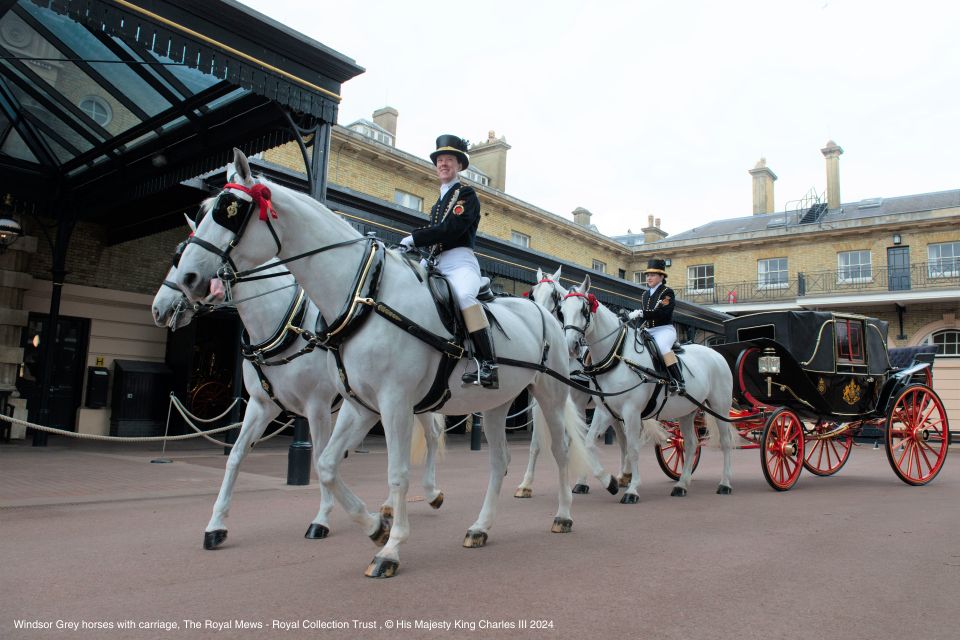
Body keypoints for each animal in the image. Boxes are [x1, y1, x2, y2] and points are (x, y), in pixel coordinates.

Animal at [155, 232, 446, 548]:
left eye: (181, 261)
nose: (159, 308)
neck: (284, 324)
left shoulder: (317, 407)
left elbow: (318, 458)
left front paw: (321, 519)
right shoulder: (261, 405)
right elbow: (236, 455)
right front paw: (216, 525)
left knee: (431, 435)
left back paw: (430, 493)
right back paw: (391, 505)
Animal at [556, 276, 736, 500]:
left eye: (583, 310)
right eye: (561, 311)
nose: (570, 346)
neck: (617, 356)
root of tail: (715, 353)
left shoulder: (631, 411)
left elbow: (633, 448)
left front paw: (632, 489)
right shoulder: (605, 411)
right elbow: (589, 443)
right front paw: (610, 482)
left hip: (719, 407)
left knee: (726, 442)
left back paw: (725, 483)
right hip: (687, 411)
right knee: (691, 444)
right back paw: (682, 484)